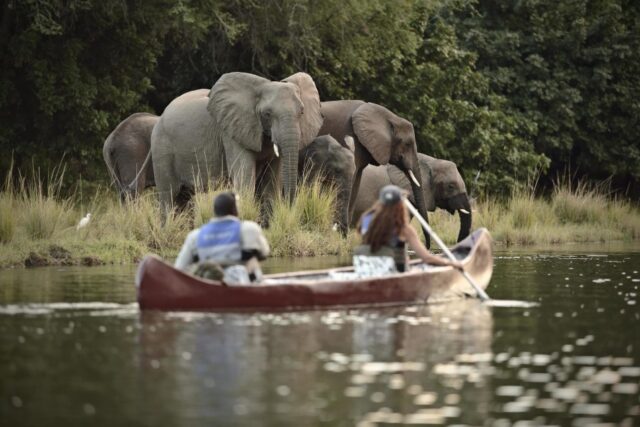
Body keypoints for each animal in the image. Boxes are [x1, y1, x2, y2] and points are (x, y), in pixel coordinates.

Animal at [318, 101, 430, 244]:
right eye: (408, 144)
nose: (427, 246)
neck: (390, 118)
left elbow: (356, 182)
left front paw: (344, 238)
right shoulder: (347, 136)